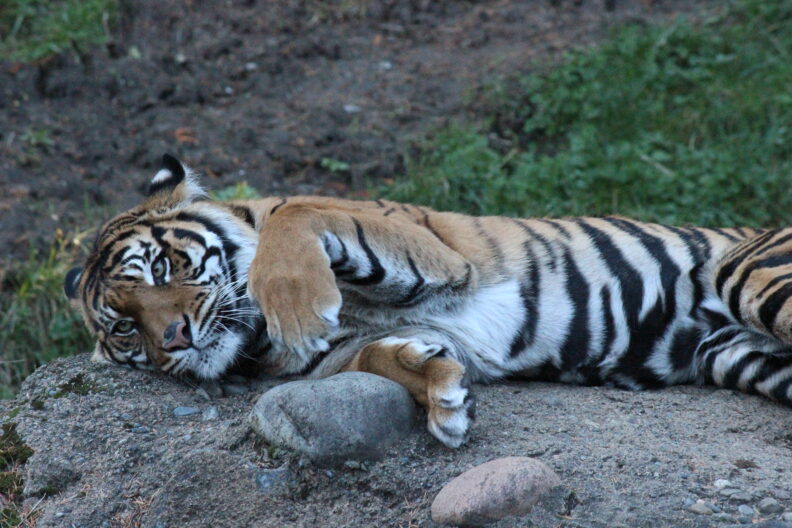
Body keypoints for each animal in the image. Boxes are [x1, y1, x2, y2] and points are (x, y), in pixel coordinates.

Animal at [64, 154, 792, 448]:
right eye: (126, 329)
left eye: (162, 268)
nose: (174, 341)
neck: (254, 337)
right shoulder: (343, 354)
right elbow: (381, 362)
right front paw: (443, 395)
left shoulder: (437, 251)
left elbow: (297, 212)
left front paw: (296, 302)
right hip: (741, 356)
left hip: (749, 271)